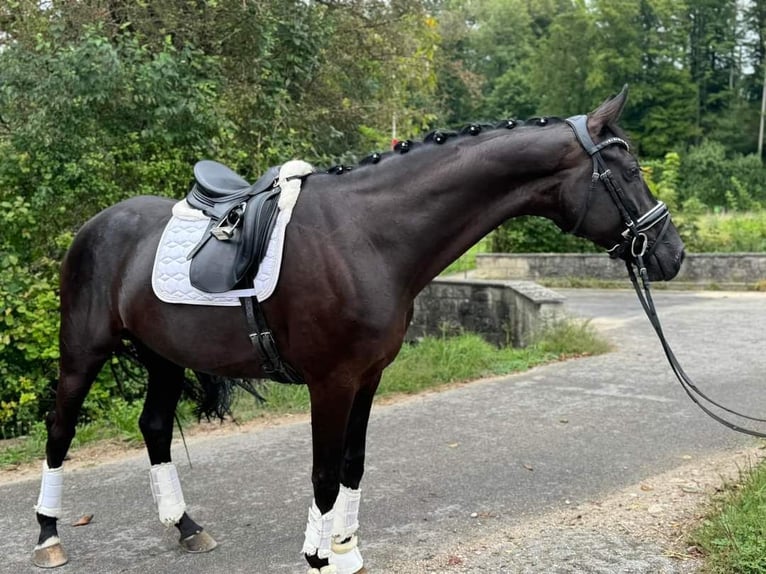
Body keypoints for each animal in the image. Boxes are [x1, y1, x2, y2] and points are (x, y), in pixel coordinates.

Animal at [33, 88, 688, 572]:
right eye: (629, 168)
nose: (673, 254)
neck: (368, 236)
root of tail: (96, 226)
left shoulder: (369, 377)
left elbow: (352, 463)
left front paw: (345, 550)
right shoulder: (332, 382)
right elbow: (324, 474)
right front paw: (320, 556)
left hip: (164, 354)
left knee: (154, 427)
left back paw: (187, 527)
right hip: (82, 350)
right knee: (60, 429)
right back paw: (47, 538)